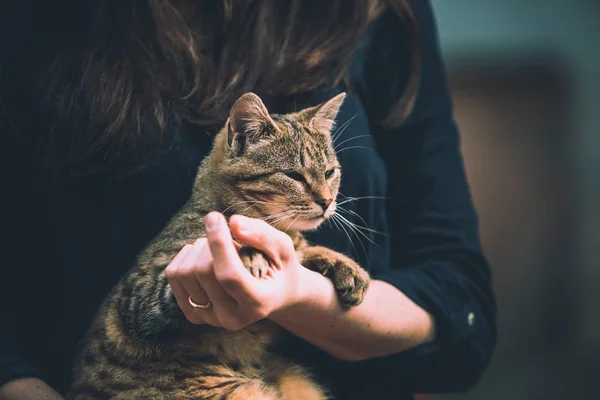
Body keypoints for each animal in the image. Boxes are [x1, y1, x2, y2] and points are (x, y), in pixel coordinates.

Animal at [69, 92, 370, 398]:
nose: (327, 201)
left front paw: (345, 266)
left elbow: (303, 250)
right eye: (293, 175)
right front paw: (245, 250)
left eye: (330, 172)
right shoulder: (138, 301)